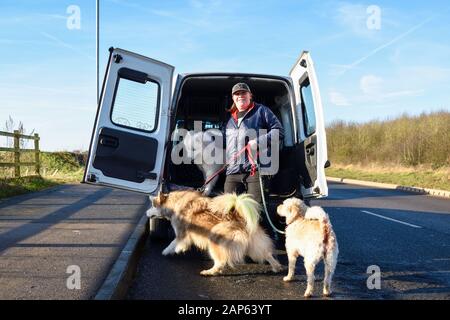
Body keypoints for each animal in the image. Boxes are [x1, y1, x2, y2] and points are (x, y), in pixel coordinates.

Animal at [147, 190, 282, 276]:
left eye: (153, 206)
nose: (146, 213)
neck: (173, 203)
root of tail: (238, 216)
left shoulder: (182, 234)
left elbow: (173, 243)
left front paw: (167, 251)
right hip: (254, 244)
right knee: (267, 253)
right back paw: (276, 267)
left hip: (214, 238)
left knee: (220, 262)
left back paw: (210, 272)